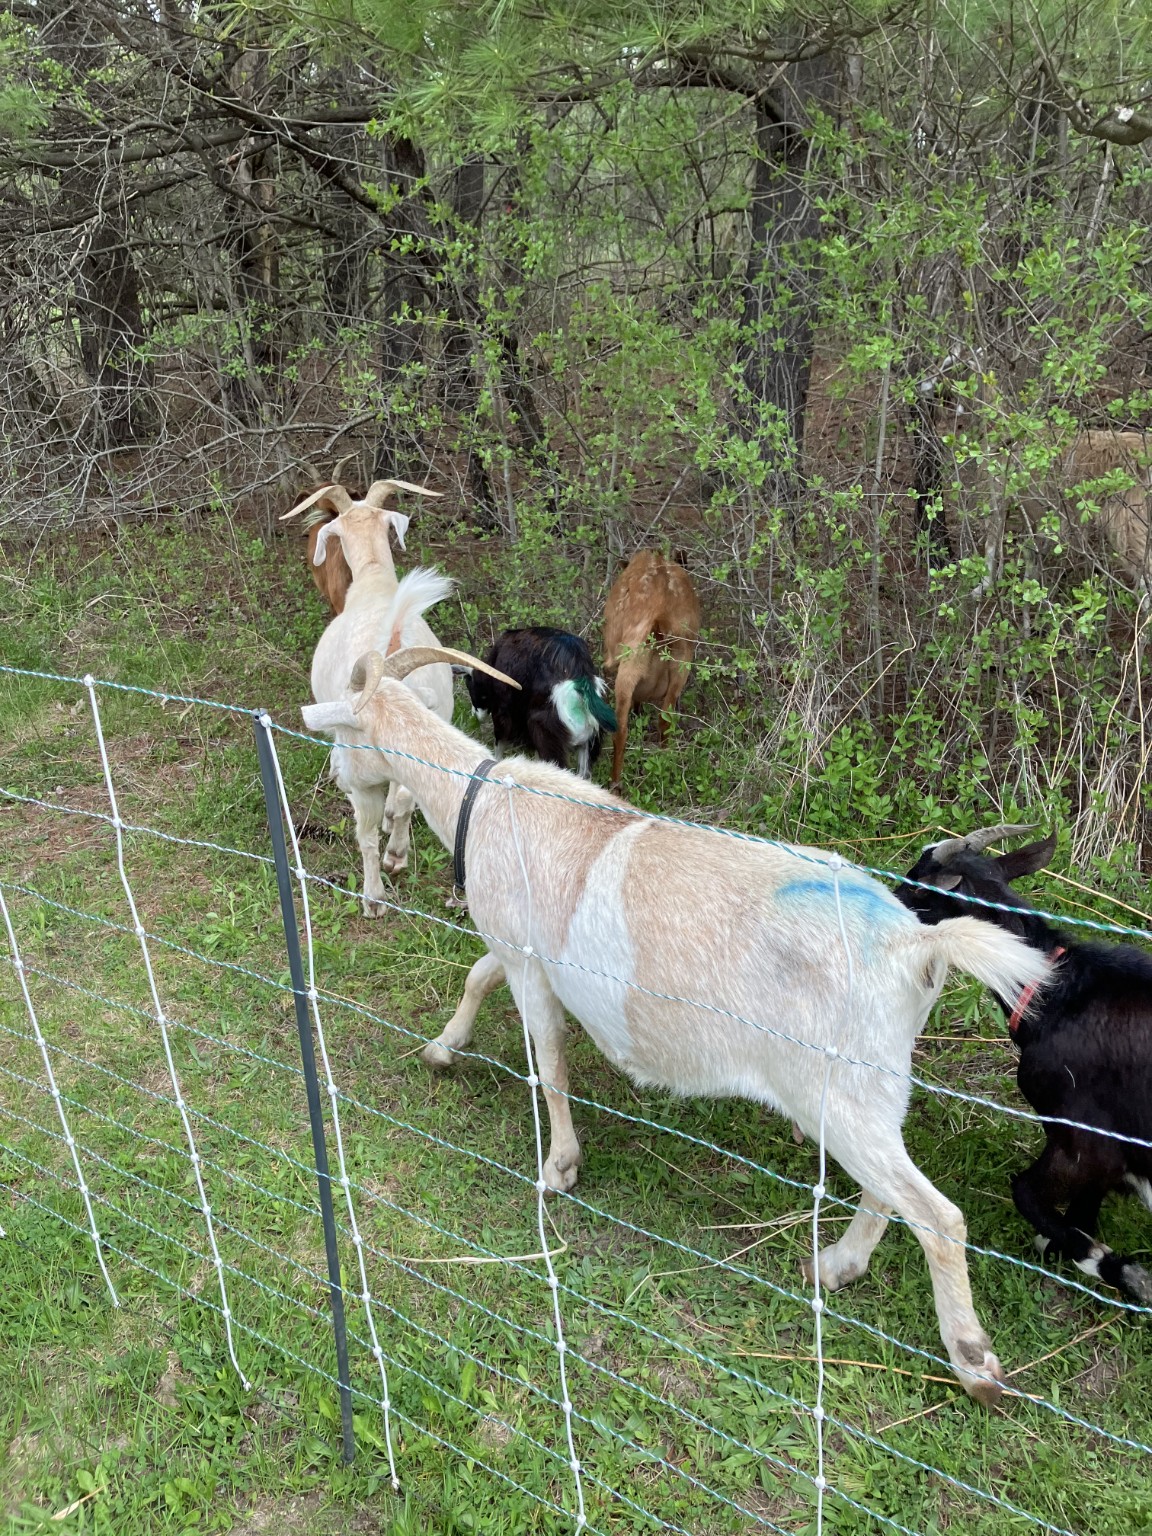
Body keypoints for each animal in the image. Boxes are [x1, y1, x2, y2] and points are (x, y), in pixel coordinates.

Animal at [282, 478, 447, 910]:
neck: (373, 579)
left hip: (360, 772)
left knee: (367, 833)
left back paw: (374, 894)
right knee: (405, 800)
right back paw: (398, 852)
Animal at [465, 627, 616, 778]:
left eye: (471, 686)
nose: (475, 715)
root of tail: (581, 678)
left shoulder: (502, 711)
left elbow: (499, 743)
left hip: (547, 736)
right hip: (589, 743)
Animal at [602, 550, 701, 788]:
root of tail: (660, 618)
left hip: (628, 668)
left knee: (620, 730)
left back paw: (615, 784)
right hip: (681, 665)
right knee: (665, 718)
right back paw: (665, 760)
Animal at [897, 824, 1152, 1306]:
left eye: (920, 886)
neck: (1056, 994)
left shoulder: (1084, 1141)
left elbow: (1026, 1194)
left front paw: (1117, 1269)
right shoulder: (1105, 1156)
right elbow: (1079, 1210)